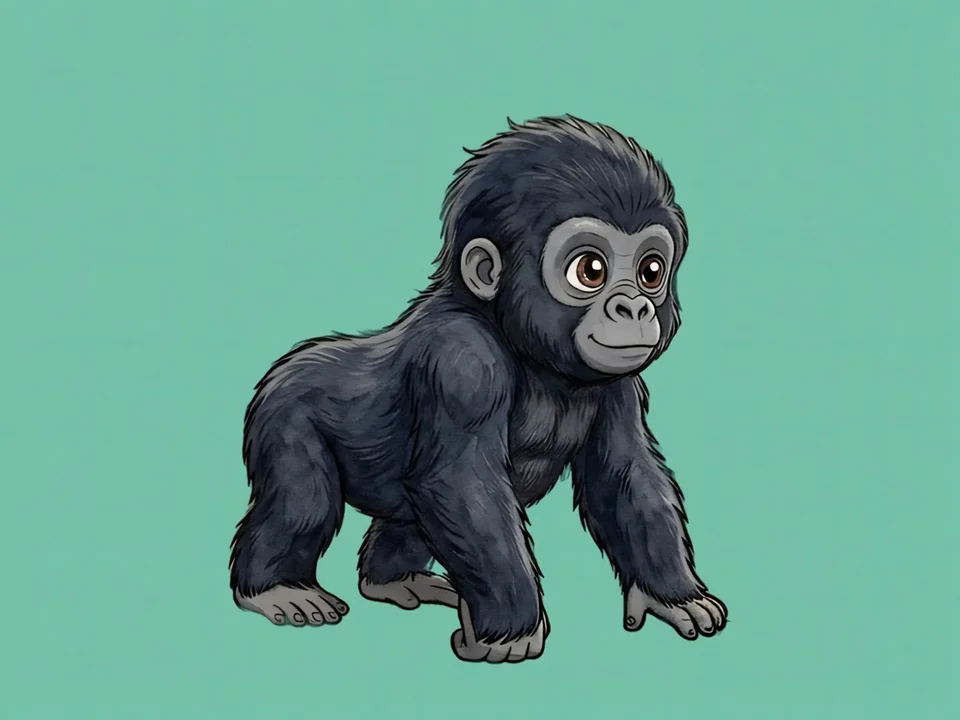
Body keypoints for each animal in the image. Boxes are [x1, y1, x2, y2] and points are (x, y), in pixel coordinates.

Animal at [228, 115, 728, 664]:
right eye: (590, 270)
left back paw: (394, 579)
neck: (532, 354)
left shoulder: (620, 387)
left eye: (650, 271)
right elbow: (465, 486)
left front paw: (672, 595)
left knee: (407, 518)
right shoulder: (462, 364)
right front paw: (512, 631)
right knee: (301, 502)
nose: (634, 307)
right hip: (281, 412)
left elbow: (626, 478)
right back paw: (276, 588)